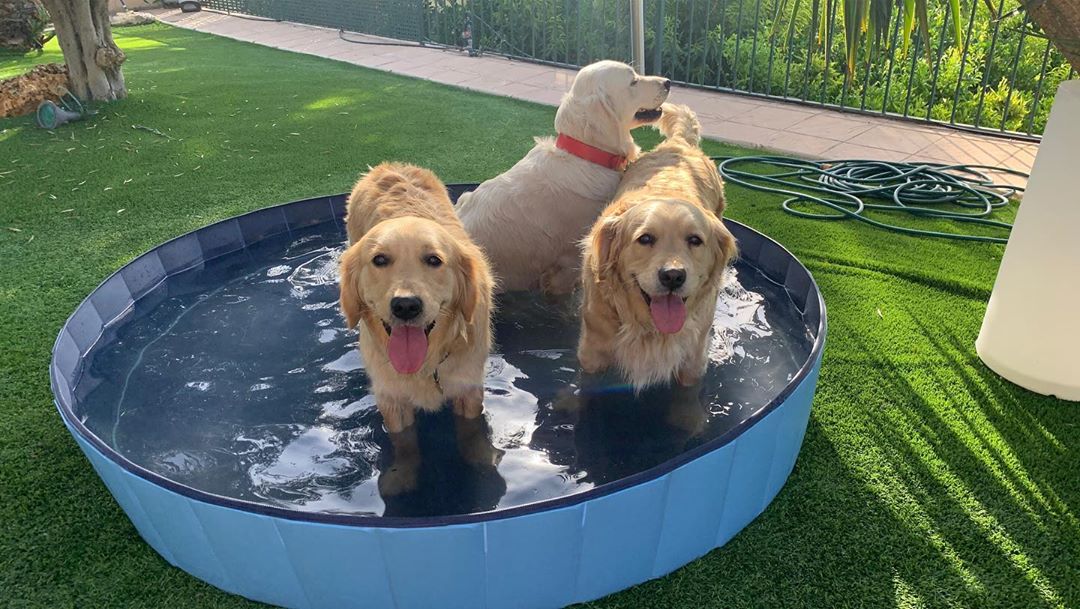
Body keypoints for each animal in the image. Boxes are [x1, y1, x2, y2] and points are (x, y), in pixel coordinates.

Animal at [339, 164, 494, 436]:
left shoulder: (469, 390)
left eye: (434, 260)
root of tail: (387, 165)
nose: (406, 306)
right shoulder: (392, 400)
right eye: (379, 260)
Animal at [578, 103, 738, 390]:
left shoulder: (693, 360)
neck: (649, 329)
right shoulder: (593, 352)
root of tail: (679, 143)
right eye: (645, 239)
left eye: (695, 240)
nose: (673, 276)